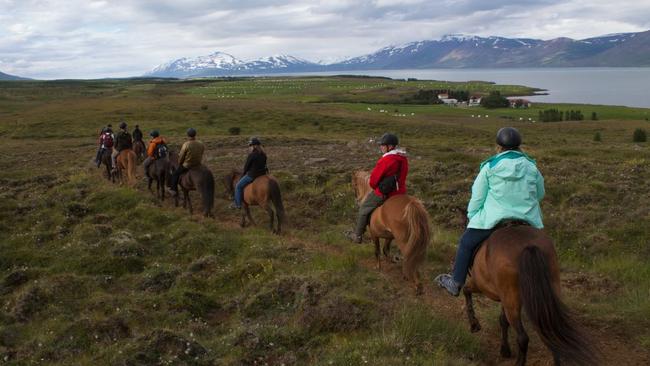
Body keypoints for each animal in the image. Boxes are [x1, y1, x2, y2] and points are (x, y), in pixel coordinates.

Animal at [464, 224, 596, 364]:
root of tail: (529, 246)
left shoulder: (481, 286)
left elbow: (466, 290)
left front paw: (474, 324)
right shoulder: (503, 297)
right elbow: (503, 320)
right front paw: (505, 350)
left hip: (510, 301)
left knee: (523, 338)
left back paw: (519, 362)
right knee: (551, 332)